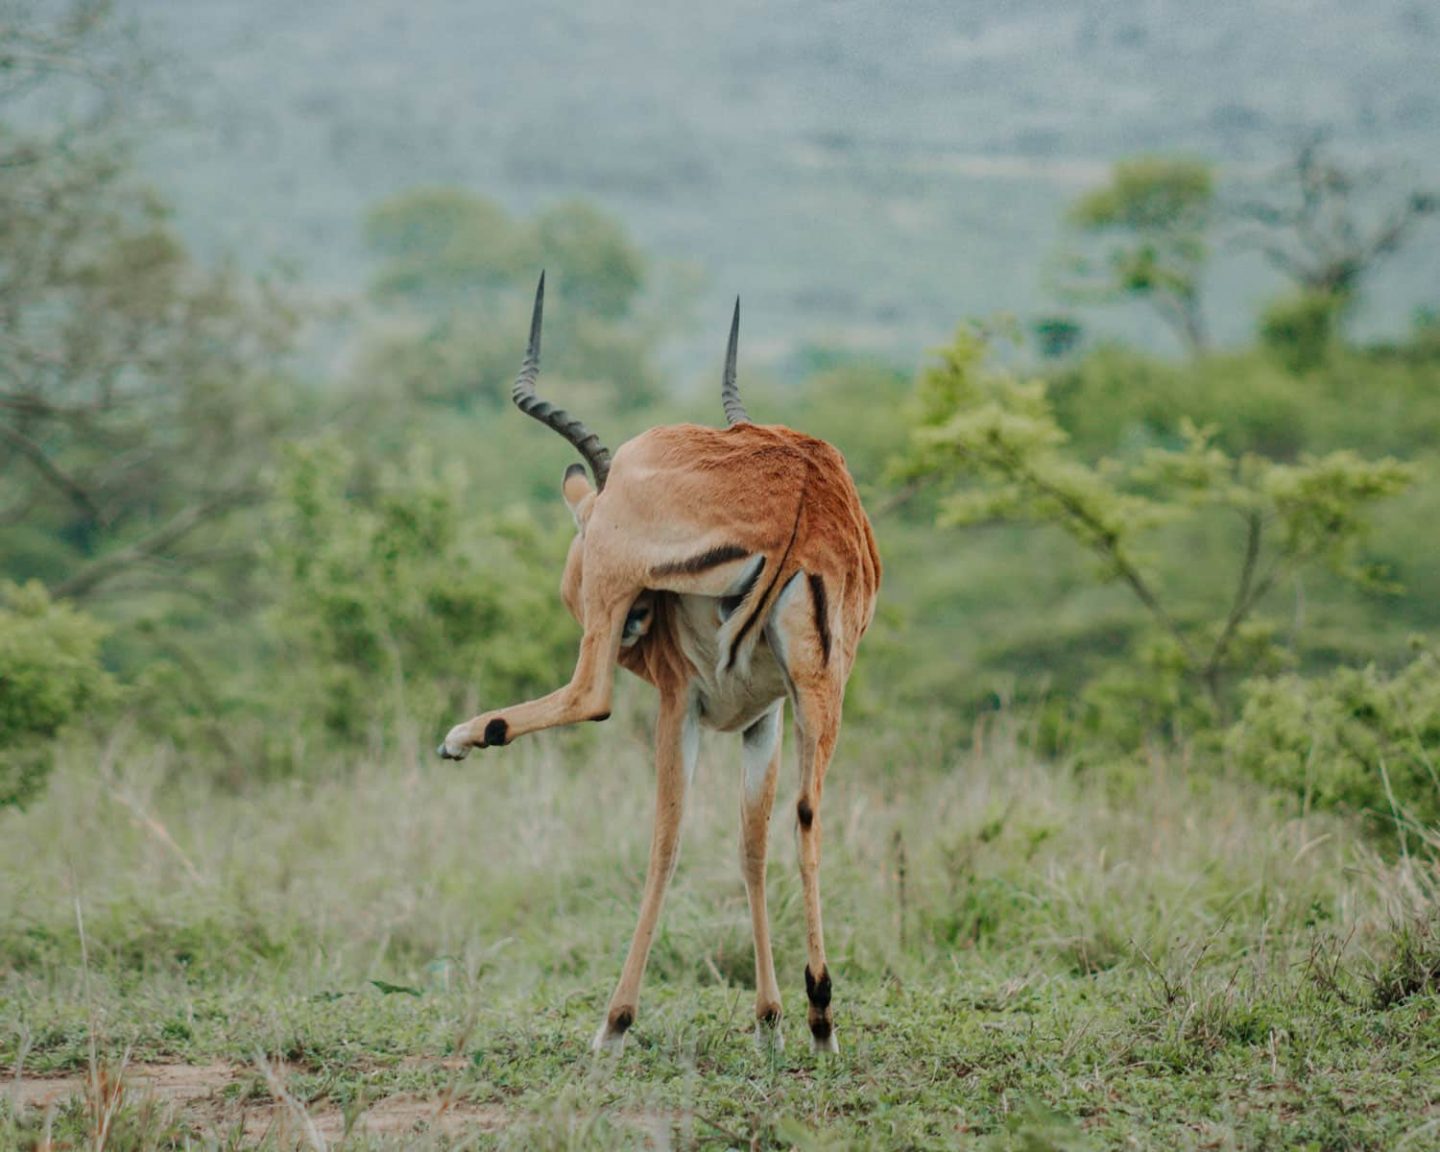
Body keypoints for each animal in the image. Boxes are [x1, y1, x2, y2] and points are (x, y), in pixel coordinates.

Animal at [437, 272, 881, 1054]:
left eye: (577, 536)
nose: (641, 620)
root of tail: (801, 493)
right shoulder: (763, 720)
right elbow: (751, 845)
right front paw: (769, 1018)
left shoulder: (683, 705)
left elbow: (666, 843)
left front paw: (618, 1021)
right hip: (822, 692)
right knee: (809, 812)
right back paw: (822, 1015)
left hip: (628, 606)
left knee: (591, 696)